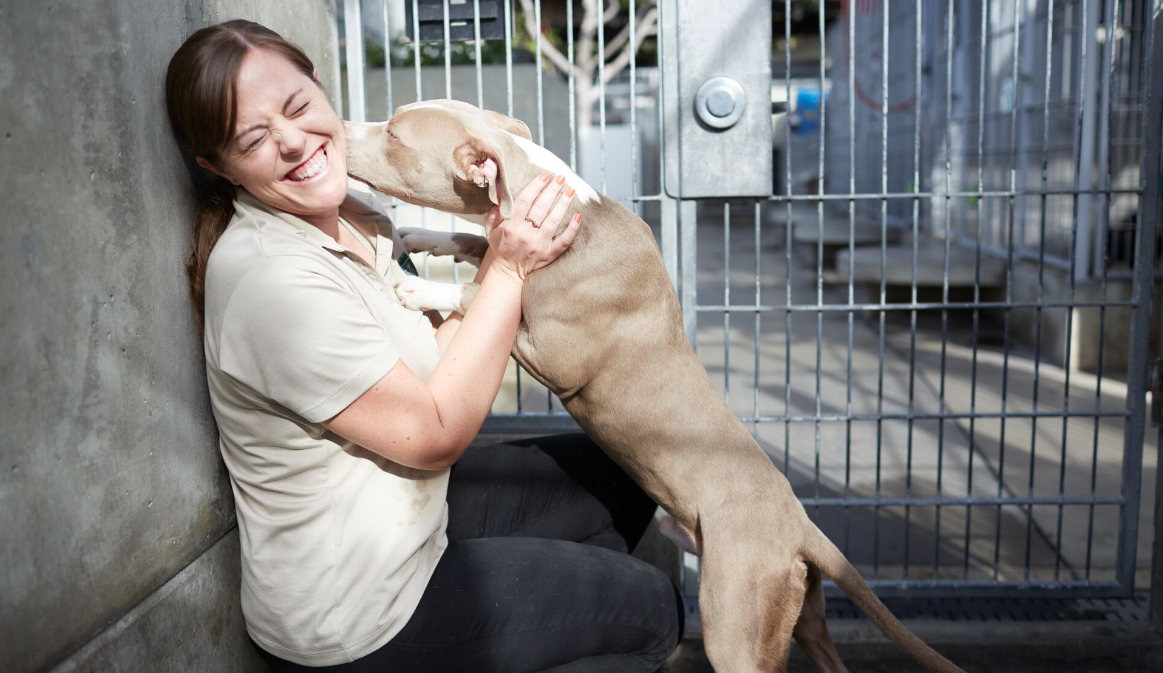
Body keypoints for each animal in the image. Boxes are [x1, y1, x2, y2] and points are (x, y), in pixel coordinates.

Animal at [346, 99, 972, 673]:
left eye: (394, 133)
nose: (343, 123)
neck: (563, 207)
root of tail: (802, 526)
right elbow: (475, 244)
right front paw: (418, 234)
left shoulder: (551, 351)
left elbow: (478, 290)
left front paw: (421, 290)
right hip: (802, 617)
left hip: (736, 624)